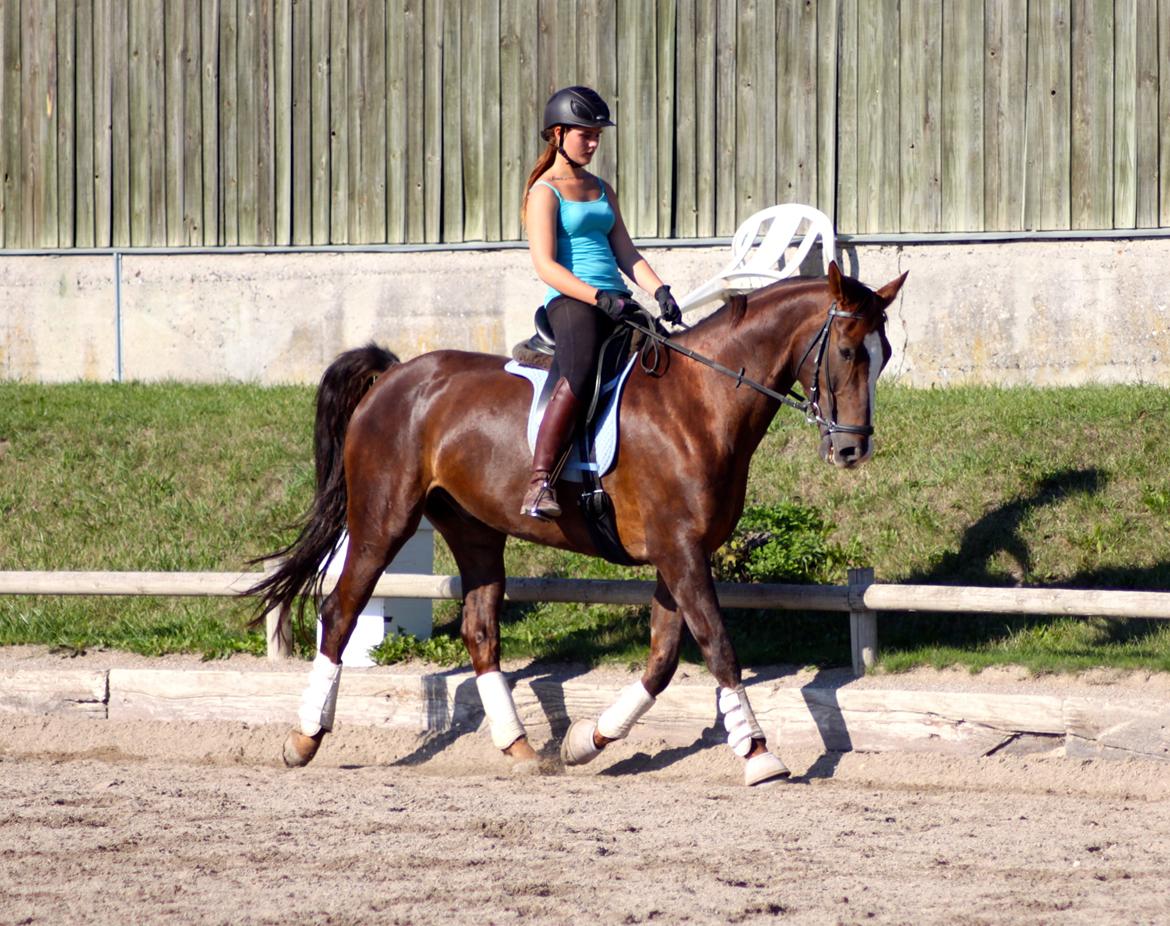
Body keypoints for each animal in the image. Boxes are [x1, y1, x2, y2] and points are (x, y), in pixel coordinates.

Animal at [246, 258, 903, 782]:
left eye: (884, 356)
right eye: (847, 352)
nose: (853, 449)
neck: (702, 401)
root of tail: (394, 374)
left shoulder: (678, 555)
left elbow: (662, 661)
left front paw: (588, 741)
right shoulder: (680, 551)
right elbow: (718, 646)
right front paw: (759, 754)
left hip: (474, 530)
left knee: (480, 631)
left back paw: (520, 748)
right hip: (384, 520)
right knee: (341, 611)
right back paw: (304, 739)